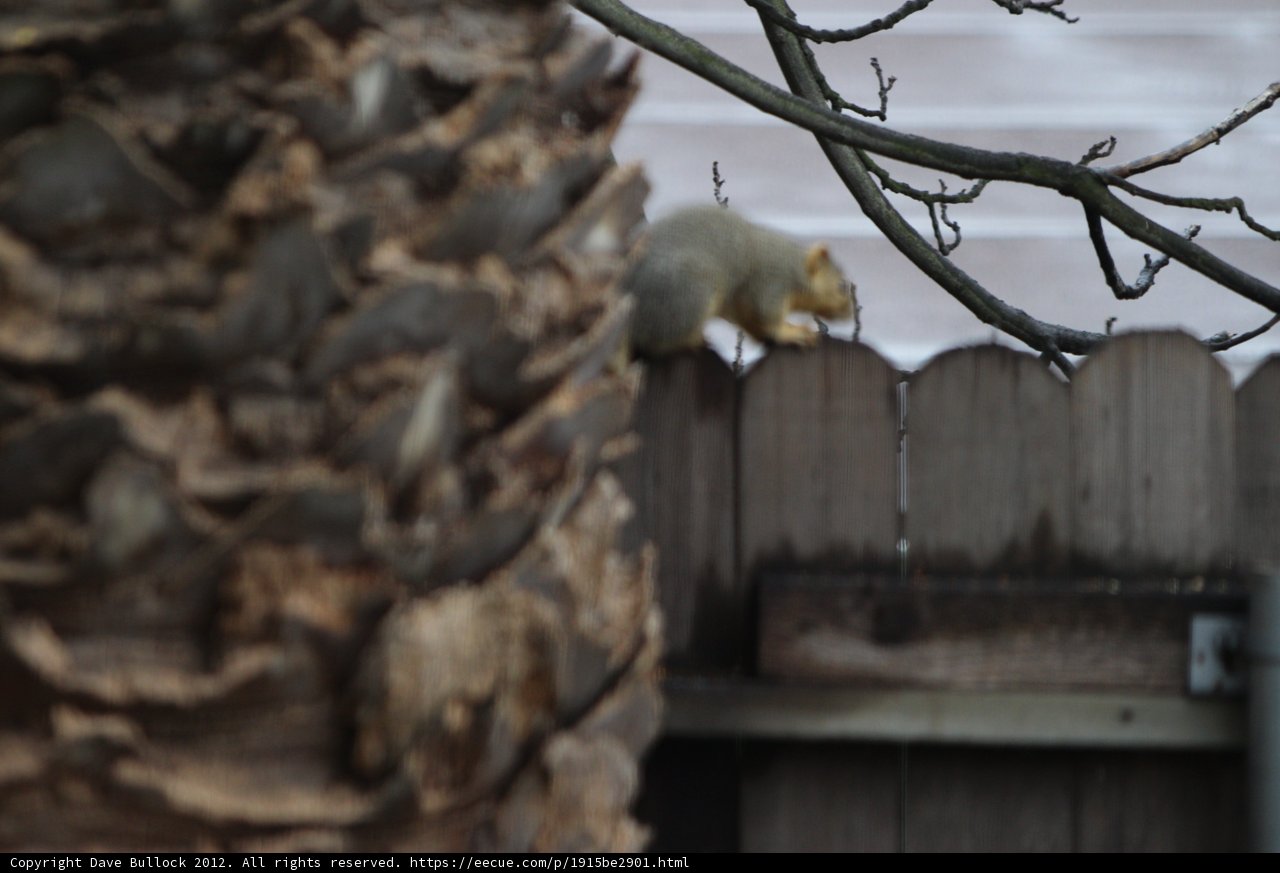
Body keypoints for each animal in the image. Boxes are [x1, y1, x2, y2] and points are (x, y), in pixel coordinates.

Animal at [617, 204, 855, 360]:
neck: (794, 267)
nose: (850, 313)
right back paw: (692, 340)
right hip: (689, 294)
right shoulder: (770, 283)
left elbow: (753, 324)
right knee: (658, 343)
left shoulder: (742, 306)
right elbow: (768, 317)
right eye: (841, 287)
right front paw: (790, 333)